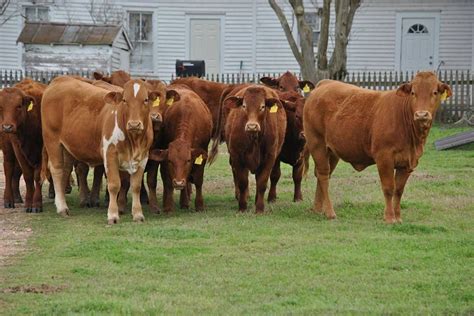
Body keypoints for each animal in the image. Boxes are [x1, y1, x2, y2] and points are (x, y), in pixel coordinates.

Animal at [0, 79, 46, 212]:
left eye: (19, 106)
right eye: (1, 107)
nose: (7, 127)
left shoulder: (43, 151)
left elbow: (37, 176)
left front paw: (37, 203)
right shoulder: (18, 149)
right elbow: (28, 176)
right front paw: (29, 203)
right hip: (8, 149)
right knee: (9, 170)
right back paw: (9, 200)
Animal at [42, 77, 156, 223]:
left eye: (146, 100)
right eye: (124, 100)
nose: (134, 124)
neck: (134, 142)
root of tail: (60, 79)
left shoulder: (143, 156)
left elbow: (136, 186)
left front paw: (138, 214)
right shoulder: (110, 154)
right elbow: (114, 185)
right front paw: (113, 215)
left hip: (67, 147)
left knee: (65, 170)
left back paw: (60, 203)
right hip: (52, 140)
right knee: (56, 170)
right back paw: (62, 208)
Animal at [214, 84, 286, 212]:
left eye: (262, 107)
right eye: (244, 106)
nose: (252, 126)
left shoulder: (269, 157)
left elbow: (262, 183)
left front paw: (259, 208)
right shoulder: (237, 156)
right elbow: (243, 182)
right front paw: (242, 207)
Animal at [304, 72, 452, 225]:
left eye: (434, 92)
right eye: (413, 92)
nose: (421, 114)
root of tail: (325, 84)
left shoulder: (408, 163)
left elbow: (399, 190)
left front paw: (398, 217)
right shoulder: (384, 157)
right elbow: (389, 188)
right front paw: (389, 217)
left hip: (332, 152)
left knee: (323, 175)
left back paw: (318, 209)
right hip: (317, 143)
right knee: (323, 175)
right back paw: (330, 212)